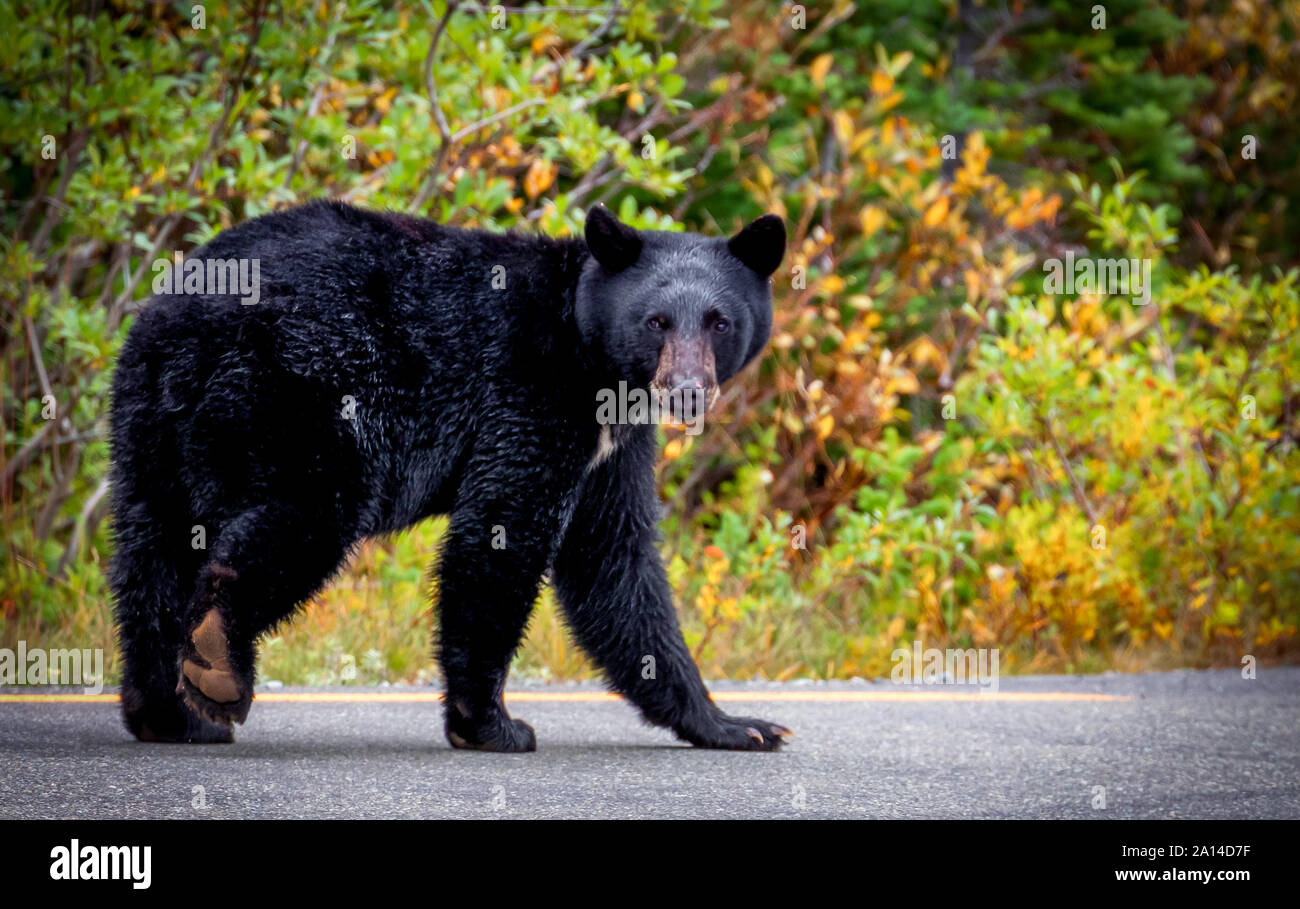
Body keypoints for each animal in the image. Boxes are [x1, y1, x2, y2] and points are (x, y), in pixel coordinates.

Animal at [106, 202, 785, 749]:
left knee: (152, 554)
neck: (587, 351)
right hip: (302, 392)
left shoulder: (611, 446)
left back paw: (170, 714)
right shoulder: (529, 394)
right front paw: (490, 724)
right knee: (305, 515)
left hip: (147, 419)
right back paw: (218, 663)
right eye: (657, 321)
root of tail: (189, 319)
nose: (688, 391)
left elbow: (614, 562)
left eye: (719, 321)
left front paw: (732, 724)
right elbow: (502, 533)